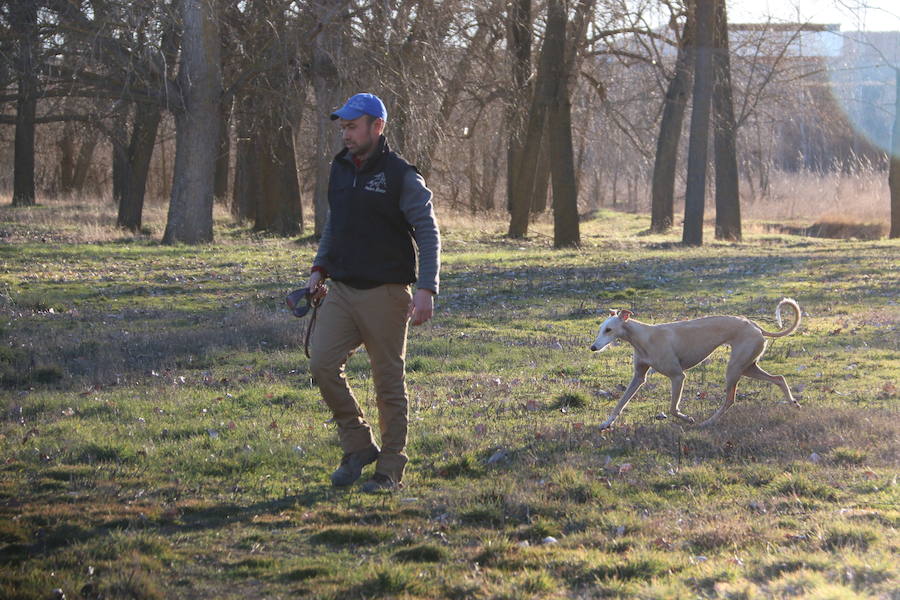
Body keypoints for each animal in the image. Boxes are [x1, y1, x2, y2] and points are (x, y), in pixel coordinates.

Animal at [592, 298, 800, 428]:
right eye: (600, 328)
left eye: (609, 330)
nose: (593, 348)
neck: (644, 336)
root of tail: (755, 326)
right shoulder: (638, 377)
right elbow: (620, 403)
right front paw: (606, 423)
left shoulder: (678, 376)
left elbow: (673, 408)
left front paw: (688, 419)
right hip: (747, 366)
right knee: (779, 378)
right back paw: (794, 403)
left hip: (734, 368)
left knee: (730, 400)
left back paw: (708, 422)